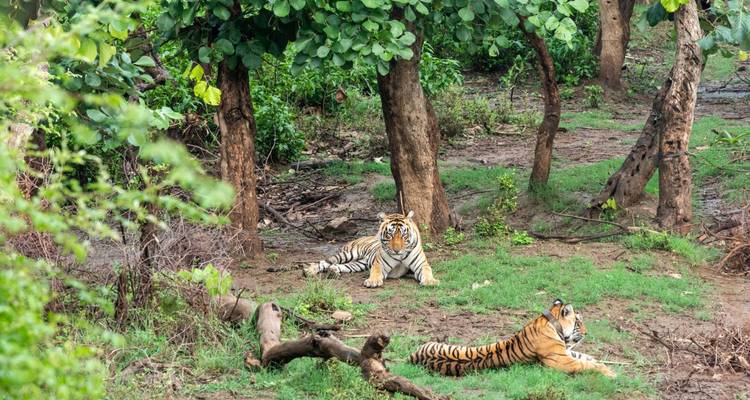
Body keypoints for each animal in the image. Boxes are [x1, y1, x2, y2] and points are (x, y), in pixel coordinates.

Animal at [303, 211, 439, 288]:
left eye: (403, 235)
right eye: (390, 234)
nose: (397, 250)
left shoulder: (421, 264)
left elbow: (427, 270)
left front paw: (430, 281)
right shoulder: (379, 263)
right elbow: (375, 271)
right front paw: (373, 281)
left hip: (359, 264)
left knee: (341, 266)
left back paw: (333, 271)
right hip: (348, 254)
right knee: (325, 262)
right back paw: (309, 270)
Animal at [409, 299, 616, 377]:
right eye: (579, 322)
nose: (587, 333)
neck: (550, 323)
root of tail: (412, 356)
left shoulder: (566, 353)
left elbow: (587, 358)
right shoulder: (562, 361)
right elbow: (586, 364)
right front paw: (610, 373)